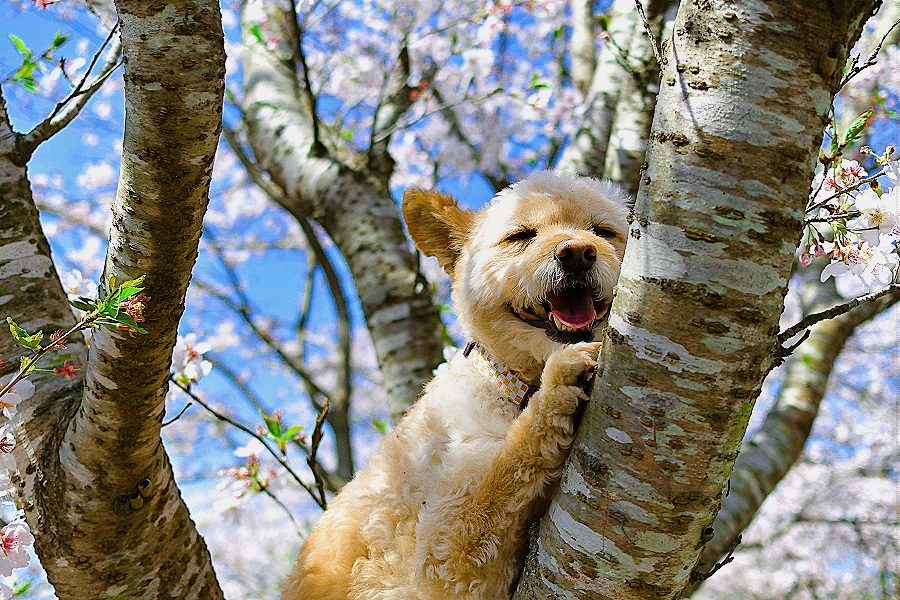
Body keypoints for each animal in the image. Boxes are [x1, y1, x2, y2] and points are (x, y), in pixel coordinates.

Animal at [284, 170, 628, 600]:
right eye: (521, 235)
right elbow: (509, 465)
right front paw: (558, 387)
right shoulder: (444, 558)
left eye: (603, 231)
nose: (578, 251)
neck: (515, 386)